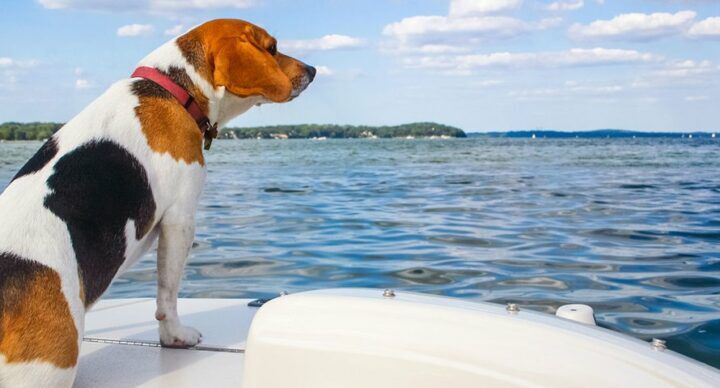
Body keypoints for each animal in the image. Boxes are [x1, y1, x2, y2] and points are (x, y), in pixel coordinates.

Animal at [0, 19, 316, 388]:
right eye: (272, 48)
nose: (312, 70)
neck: (174, 90)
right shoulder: (180, 219)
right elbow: (168, 292)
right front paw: (175, 336)